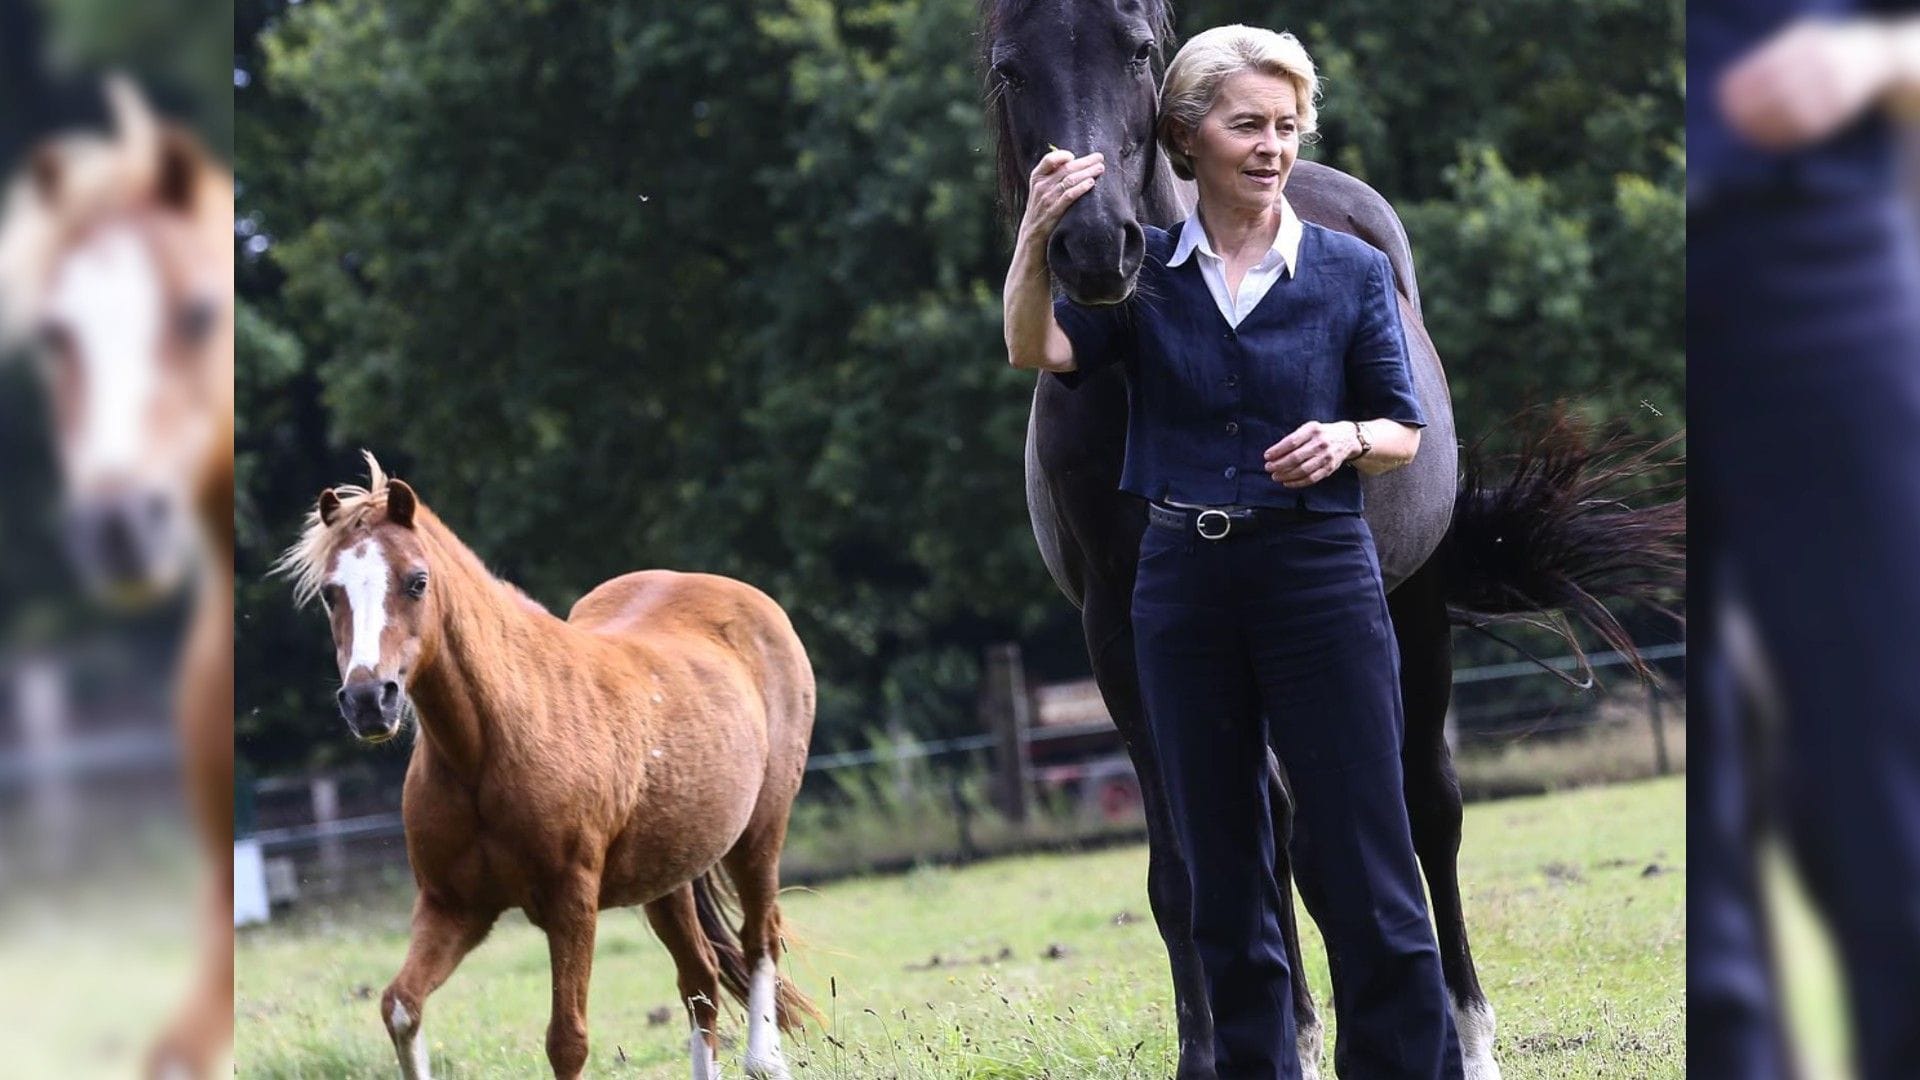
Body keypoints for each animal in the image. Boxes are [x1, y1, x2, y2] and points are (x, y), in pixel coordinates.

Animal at [272, 453, 825, 1076]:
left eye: (417, 581)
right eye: (330, 593)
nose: (370, 700)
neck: (488, 748)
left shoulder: (571, 904)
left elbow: (568, 1040)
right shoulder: (454, 907)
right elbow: (400, 1007)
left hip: (759, 834)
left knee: (759, 941)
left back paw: (765, 1058)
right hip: (669, 874)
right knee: (700, 980)